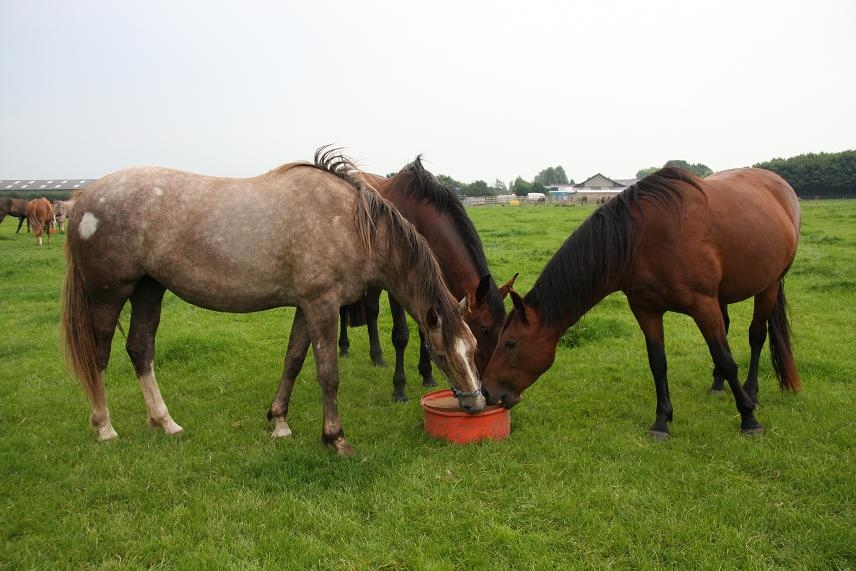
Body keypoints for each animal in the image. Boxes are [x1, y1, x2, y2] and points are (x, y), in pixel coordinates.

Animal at [338, 156, 516, 402]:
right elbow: (401, 336)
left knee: (372, 309)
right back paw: (343, 347)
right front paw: (399, 388)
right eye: (483, 330)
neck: (419, 217)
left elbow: (426, 331)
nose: (493, 392)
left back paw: (377, 357)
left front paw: (427, 375)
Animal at [482, 166, 804, 438]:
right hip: (722, 297)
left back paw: (752, 393)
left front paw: (748, 419)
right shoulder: (646, 309)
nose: (486, 391)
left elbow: (727, 358)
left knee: (756, 336)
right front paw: (661, 422)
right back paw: (717, 384)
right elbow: (658, 363)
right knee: (726, 329)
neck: (641, 239)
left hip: (768, 286)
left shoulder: (702, 305)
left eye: (510, 342)